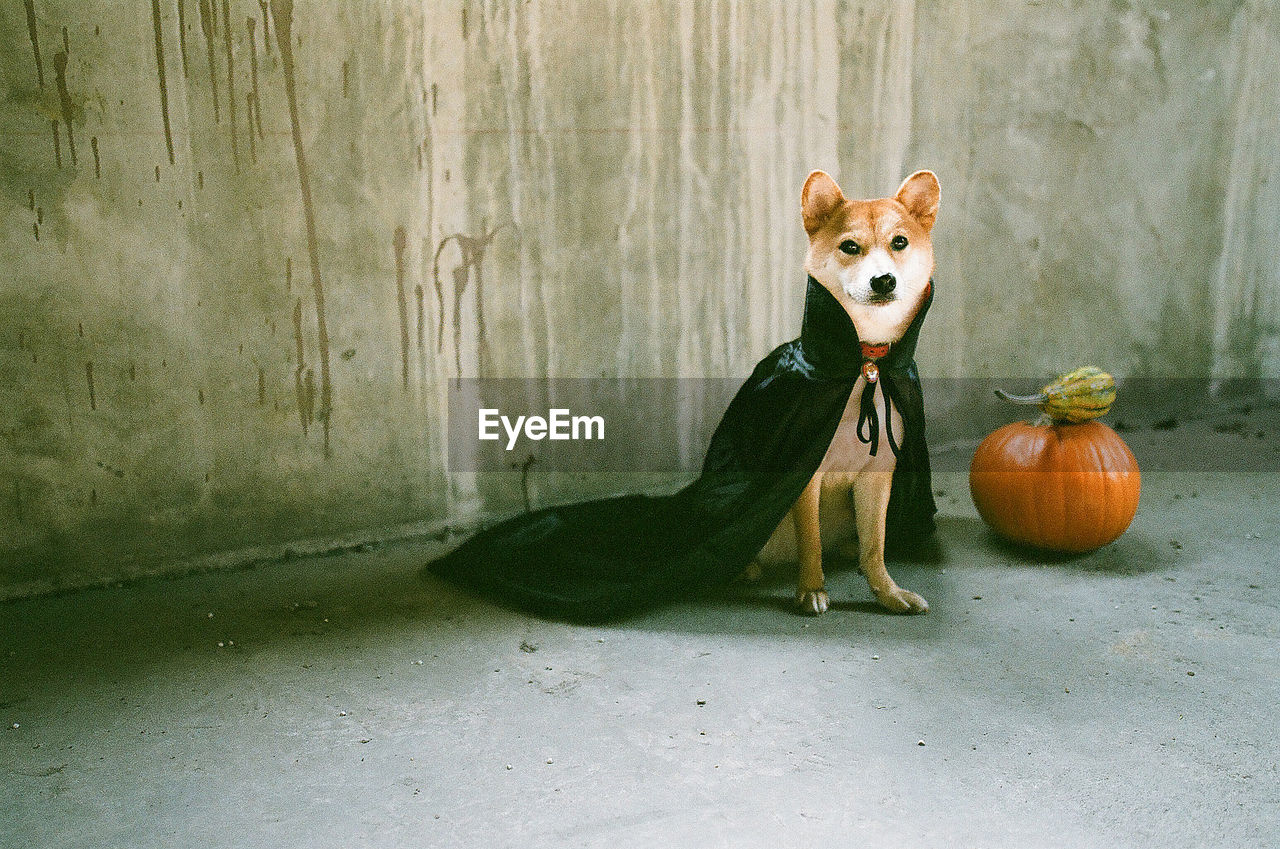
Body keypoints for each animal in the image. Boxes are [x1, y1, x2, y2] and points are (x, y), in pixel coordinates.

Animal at [747, 169, 942, 614]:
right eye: (850, 246)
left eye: (899, 242)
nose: (883, 279)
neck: (866, 363)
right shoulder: (806, 475)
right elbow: (811, 541)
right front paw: (811, 589)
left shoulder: (877, 476)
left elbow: (875, 546)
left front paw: (888, 592)